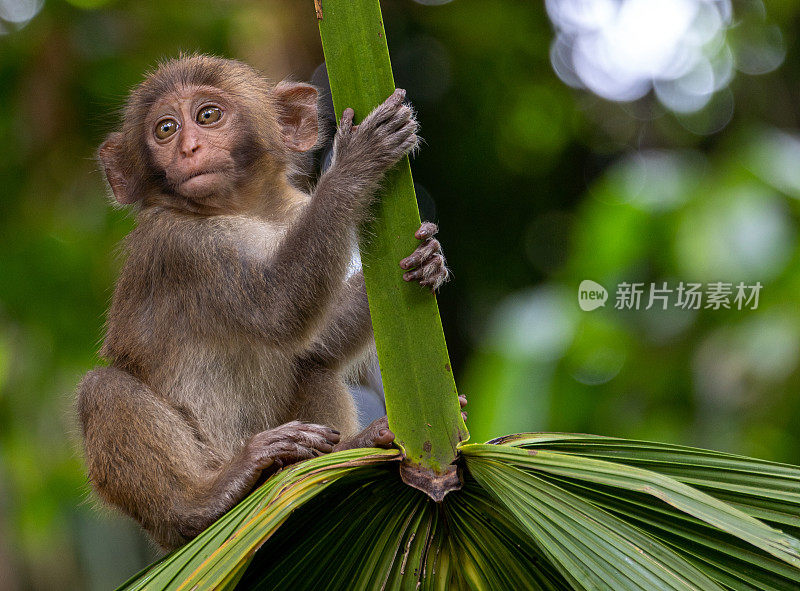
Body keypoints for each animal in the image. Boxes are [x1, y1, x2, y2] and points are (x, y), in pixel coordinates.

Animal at [78, 56, 454, 552]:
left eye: (208, 116)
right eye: (164, 128)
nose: (189, 149)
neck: (247, 210)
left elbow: (315, 343)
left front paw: (429, 259)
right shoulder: (180, 246)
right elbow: (278, 311)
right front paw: (355, 162)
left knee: (314, 367)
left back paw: (343, 450)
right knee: (101, 388)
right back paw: (205, 501)